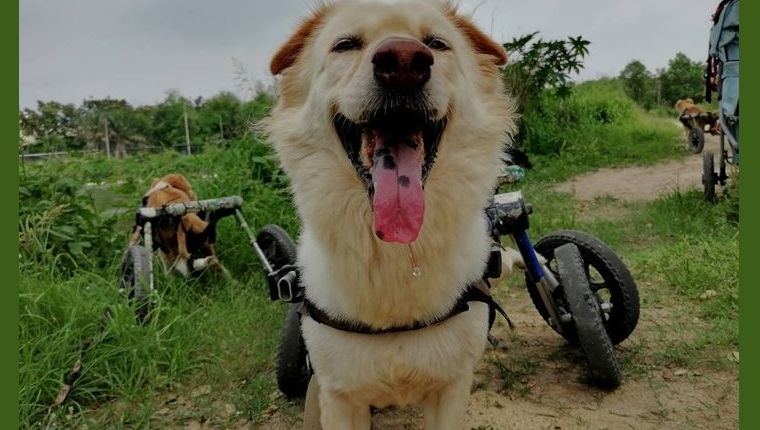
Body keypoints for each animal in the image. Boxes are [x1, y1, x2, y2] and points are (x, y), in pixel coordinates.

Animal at [264, 1, 520, 428]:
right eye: (345, 45)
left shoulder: (451, 389)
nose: (403, 62)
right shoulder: (338, 396)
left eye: (437, 44)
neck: (398, 259)